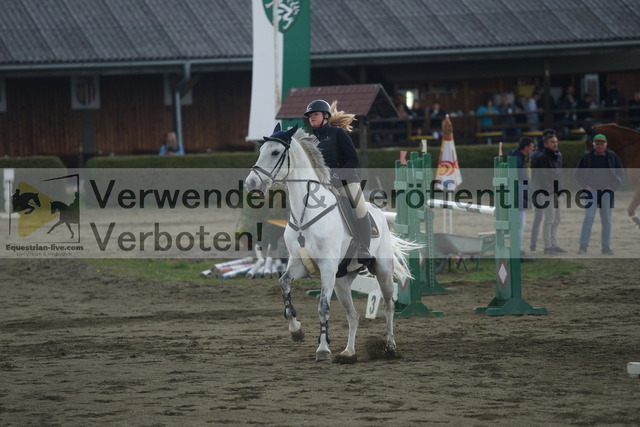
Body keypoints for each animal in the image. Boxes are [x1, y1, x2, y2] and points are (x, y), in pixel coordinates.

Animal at [242, 124, 418, 364]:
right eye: (261, 150)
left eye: (275, 152)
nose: (251, 183)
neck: (305, 213)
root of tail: (380, 213)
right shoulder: (299, 265)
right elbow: (284, 284)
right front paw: (296, 330)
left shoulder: (327, 266)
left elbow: (323, 307)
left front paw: (323, 349)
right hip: (342, 281)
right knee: (353, 315)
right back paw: (348, 352)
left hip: (382, 271)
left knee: (389, 306)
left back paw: (390, 347)